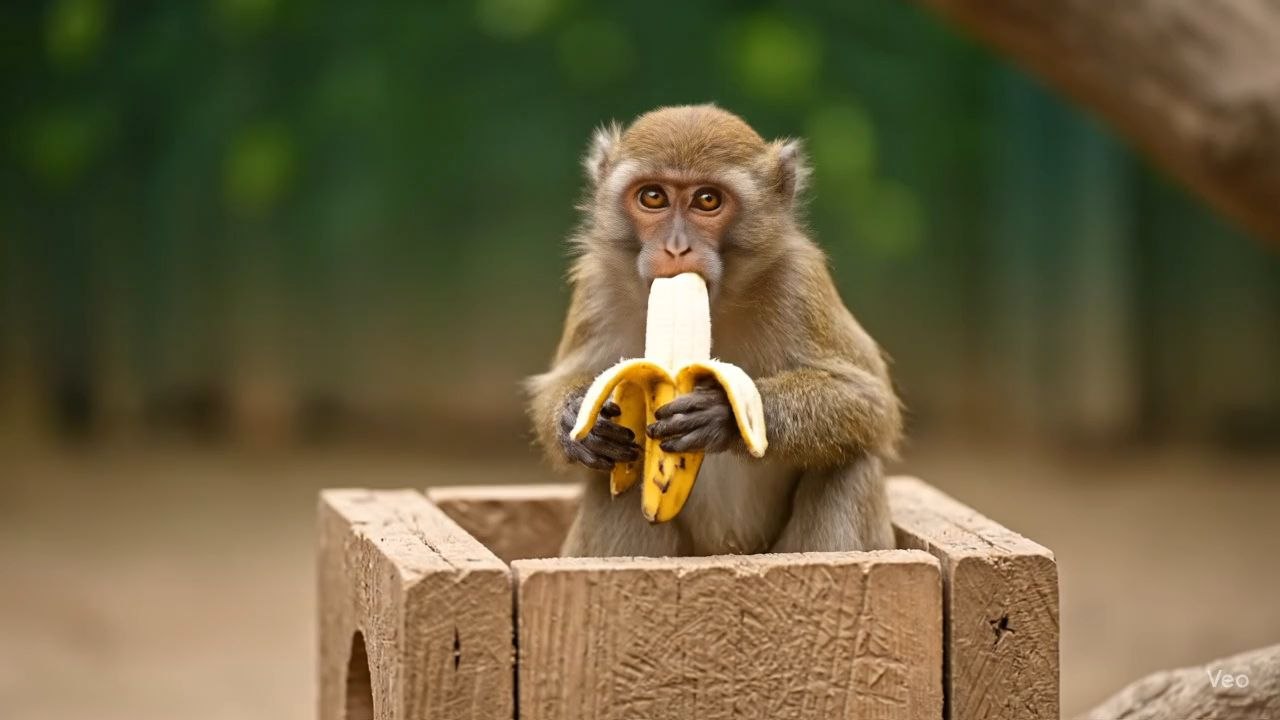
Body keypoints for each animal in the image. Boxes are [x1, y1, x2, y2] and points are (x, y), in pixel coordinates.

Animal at [526, 104, 903, 558]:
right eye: (653, 197)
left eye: (707, 200)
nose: (676, 247)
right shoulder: (596, 286)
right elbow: (558, 383)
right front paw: (576, 416)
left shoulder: (800, 283)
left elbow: (870, 400)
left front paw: (723, 412)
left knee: (850, 465)